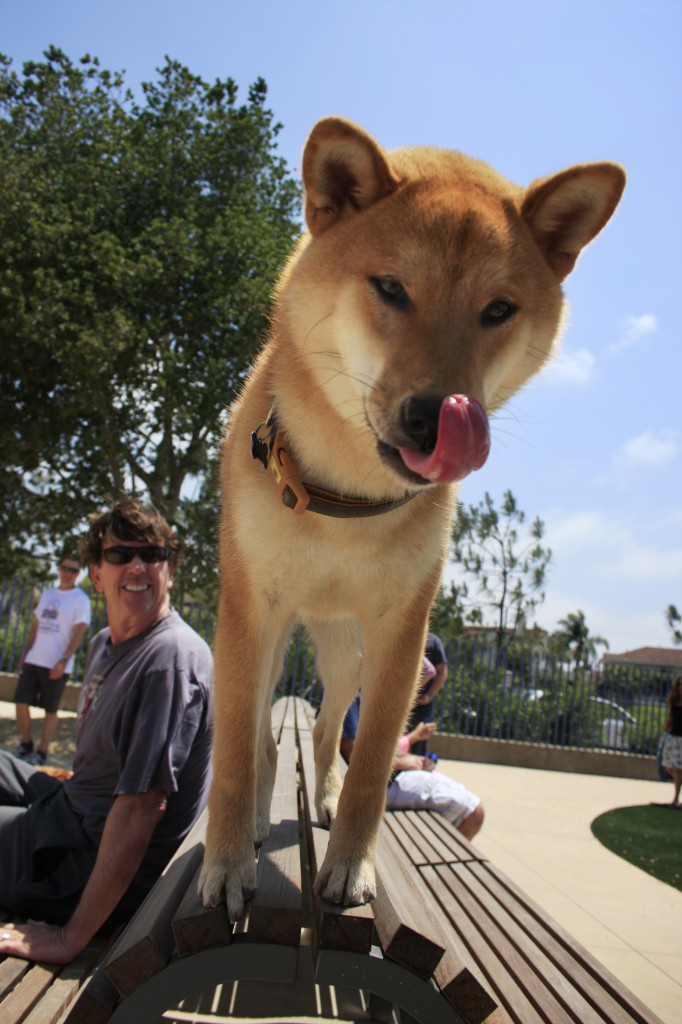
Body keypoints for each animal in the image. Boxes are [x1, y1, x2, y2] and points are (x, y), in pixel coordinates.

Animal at [196, 116, 622, 917]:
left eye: (498, 309)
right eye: (391, 288)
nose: (434, 418)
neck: (347, 500)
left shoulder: (402, 629)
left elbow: (369, 766)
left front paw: (348, 864)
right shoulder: (250, 607)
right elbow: (235, 750)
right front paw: (227, 864)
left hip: (348, 651)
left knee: (325, 727)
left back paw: (324, 796)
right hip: (279, 630)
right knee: (268, 734)